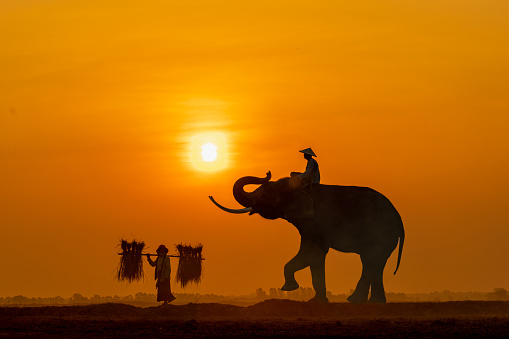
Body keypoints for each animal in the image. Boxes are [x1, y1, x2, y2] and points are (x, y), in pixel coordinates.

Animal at [208, 171, 402, 304]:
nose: (267, 173)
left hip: (381, 232)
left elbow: (315, 255)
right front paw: (291, 288)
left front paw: (314, 301)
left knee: (371, 261)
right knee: (373, 262)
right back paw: (374, 302)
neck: (301, 189)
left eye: (267, 194)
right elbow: (305, 254)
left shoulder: (319, 223)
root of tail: (399, 219)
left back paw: (354, 300)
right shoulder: (306, 227)